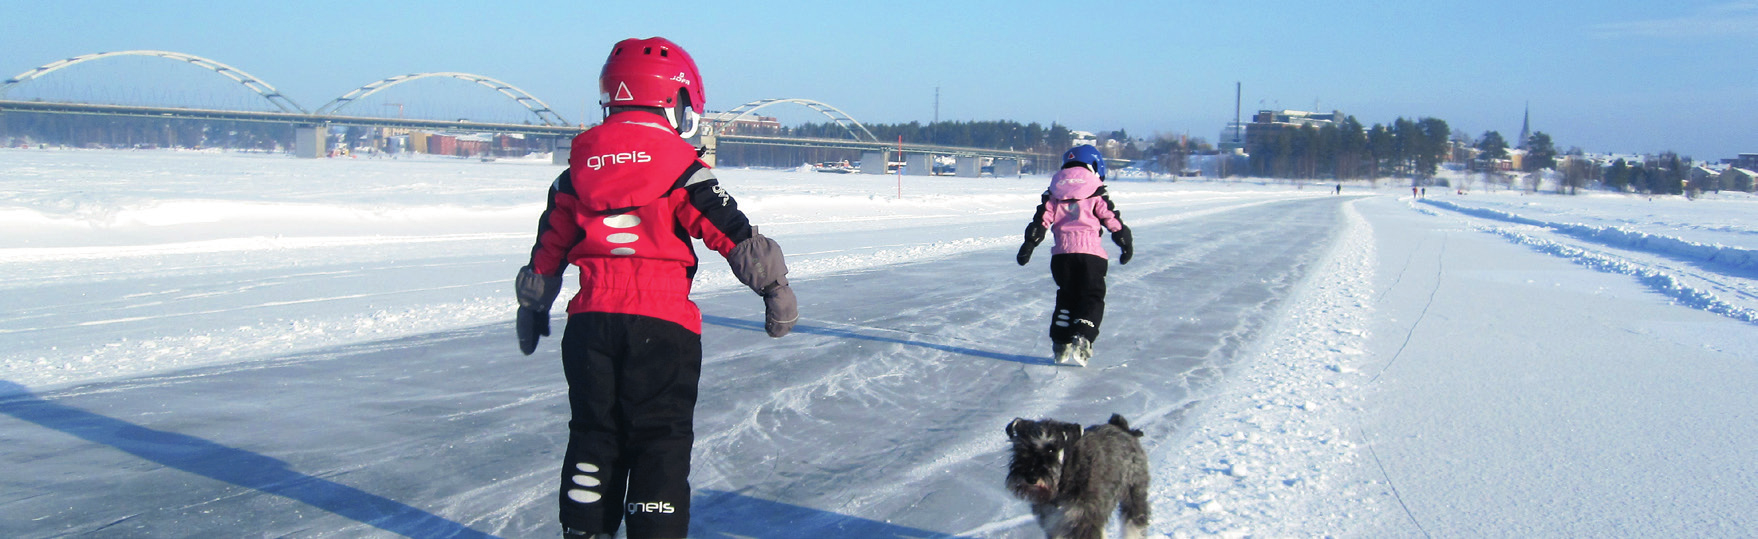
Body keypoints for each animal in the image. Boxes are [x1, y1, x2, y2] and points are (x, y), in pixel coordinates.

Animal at [1005, 416, 1153, 537]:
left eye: (1051, 449)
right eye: (1019, 448)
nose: (1031, 478)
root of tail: (1121, 427)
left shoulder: (1083, 521)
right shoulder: (1055, 524)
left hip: (1133, 493)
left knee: (1134, 523)